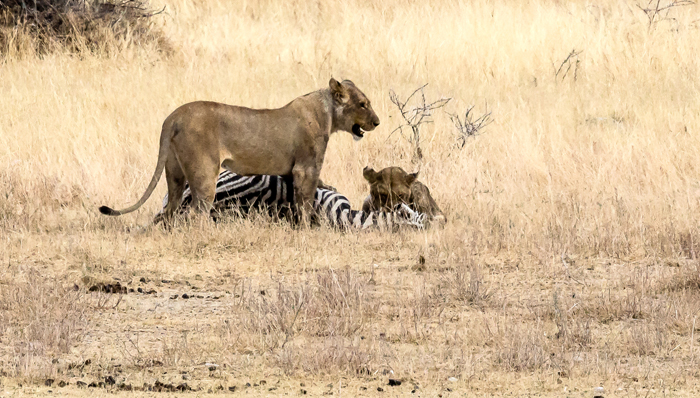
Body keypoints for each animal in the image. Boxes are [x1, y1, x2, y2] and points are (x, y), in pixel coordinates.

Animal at [100, 78, 378, 224]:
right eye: (362, 104)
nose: (377, 122)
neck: (328, 113)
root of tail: (173, 116)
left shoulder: (293, 171)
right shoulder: (306, 168)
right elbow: (306, 203)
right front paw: (308, 228)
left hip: (175, 173)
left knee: (171, 211)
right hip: (204, 174)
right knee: (195, 213)